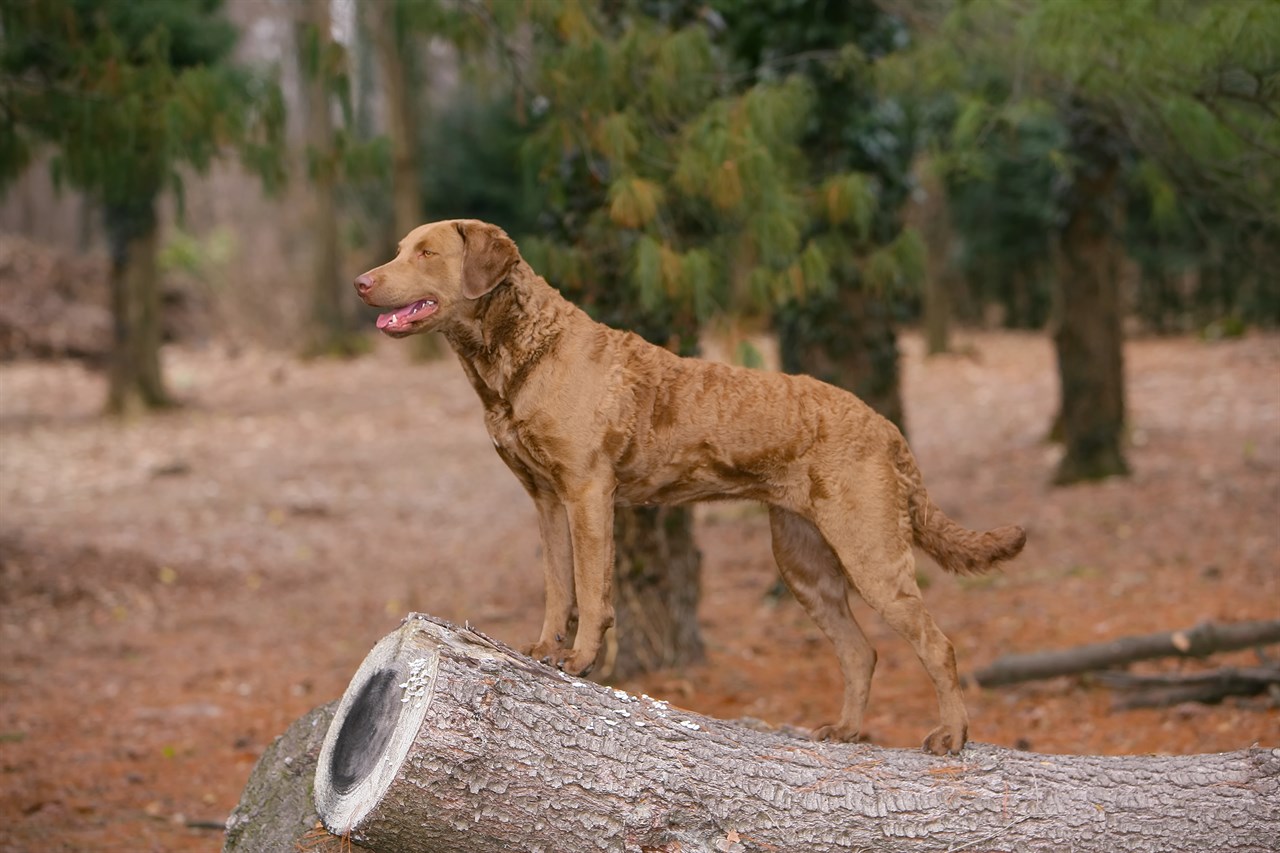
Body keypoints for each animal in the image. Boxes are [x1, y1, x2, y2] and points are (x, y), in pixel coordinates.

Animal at [355, 219, 1024, 753]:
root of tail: (886, 427)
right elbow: (557, 585)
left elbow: (592, 591)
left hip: (870, 549)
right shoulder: (544, 496)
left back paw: (952, 737)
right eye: (399, 249)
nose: (362, 281)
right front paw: (542, 649)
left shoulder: (587, 489)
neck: (518, 357)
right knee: (861, 651)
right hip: (804, 560)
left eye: (426, 253)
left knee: (937, 644)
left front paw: (580, 661)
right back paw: (847, 732)